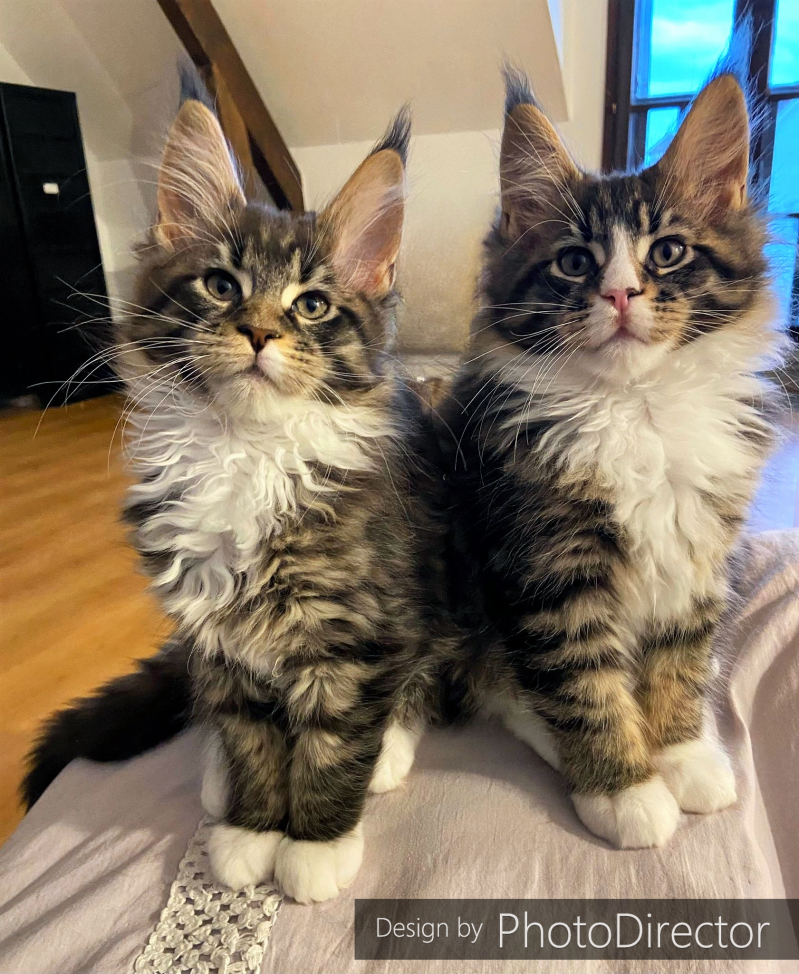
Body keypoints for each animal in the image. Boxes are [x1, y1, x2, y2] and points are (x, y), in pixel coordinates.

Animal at [23, 97, 464, 903]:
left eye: (312, 305)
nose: (259, 330)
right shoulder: (215, 636)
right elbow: (250, 736)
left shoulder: (358, 631)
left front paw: (316, 843)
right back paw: (214, 776)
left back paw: (388, 751)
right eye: (221, 286)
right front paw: (251, 827)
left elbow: (333, 738)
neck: (244, 451)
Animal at [439, 66, 783, 850]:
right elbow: (582, 684)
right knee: (500, 686)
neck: (636, 410)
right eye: (573, 262)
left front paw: (682, 753)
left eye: (668, 252)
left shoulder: (698, 553)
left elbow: (681, 661)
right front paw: (624, 788)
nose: (621, 293)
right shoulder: (547, 565)